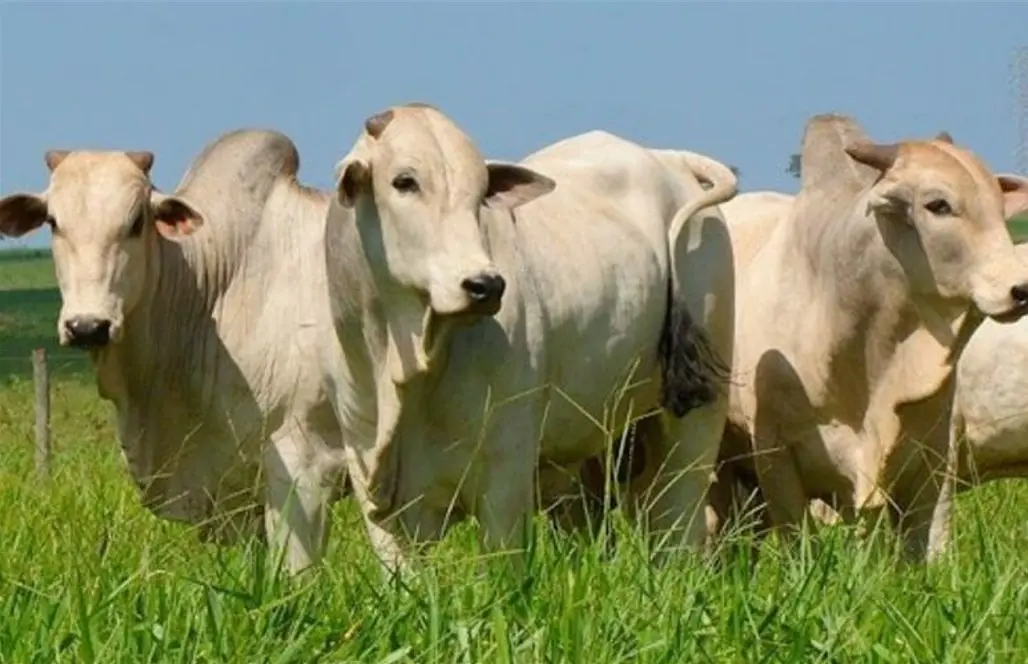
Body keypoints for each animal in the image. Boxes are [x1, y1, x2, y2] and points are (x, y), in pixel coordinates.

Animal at [322, 102, 740, 571]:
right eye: (403, 181)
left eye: (480, 192)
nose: (485, 285)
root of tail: (667, 158)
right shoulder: (371, 480)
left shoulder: (506, 471)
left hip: (697, 413)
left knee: (679, 518)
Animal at [711, 115, 1028, 563]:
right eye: (938, 205)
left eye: (1000, 208)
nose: (1021, 290)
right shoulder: (776, 455)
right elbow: (800, 544)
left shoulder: (933, 456)